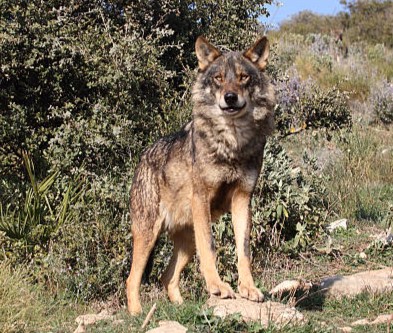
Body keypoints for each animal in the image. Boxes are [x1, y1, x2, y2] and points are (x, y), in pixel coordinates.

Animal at [127, 36, 274, 314]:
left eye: (243, 77)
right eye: (218, 78)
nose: (230, 97)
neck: (231, 144)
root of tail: (142, 157)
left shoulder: (242, 200)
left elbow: (244, 251)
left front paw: (248, 289)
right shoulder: (202, 199)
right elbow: (211, 248)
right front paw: (218, 286)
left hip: (186, 241)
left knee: (166, 277)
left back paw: (181, 308)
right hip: (148, 235)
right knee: (132, 279)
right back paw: (137, 314)